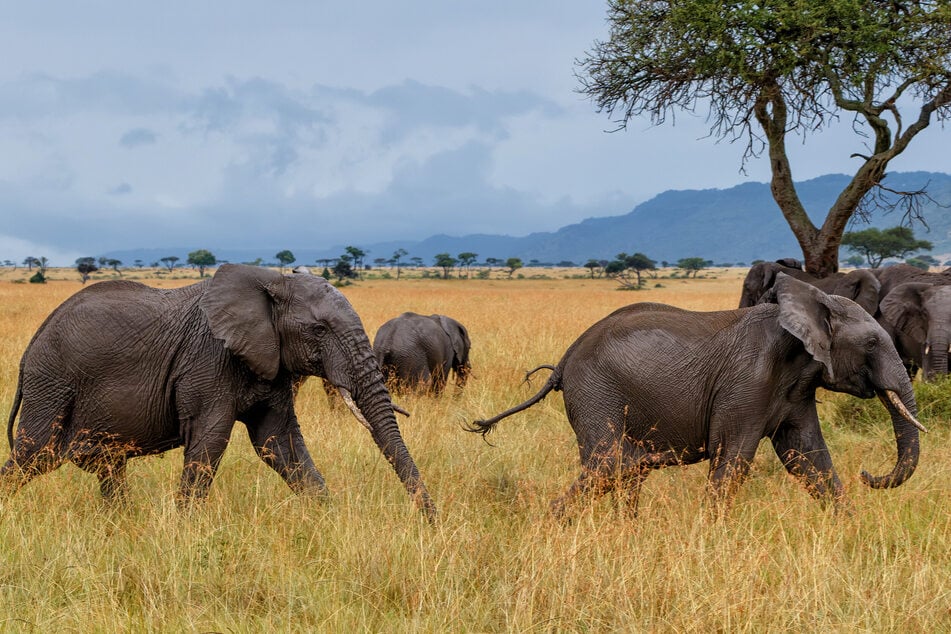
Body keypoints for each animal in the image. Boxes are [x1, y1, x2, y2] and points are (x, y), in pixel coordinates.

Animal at [1, 262, 436, 520]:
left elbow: (278, 443)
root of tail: (30, 351)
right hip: (52, 385)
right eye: (319, 329)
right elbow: (210, 441)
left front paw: (326, 519)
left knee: (107, 466)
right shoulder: (208, 360)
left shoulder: (270, 359)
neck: (270, 279)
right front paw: (186, 530)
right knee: (32, 456)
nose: (431, 522)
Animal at [472, 274, 924, 516]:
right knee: (610, 465)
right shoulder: (748, 381)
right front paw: (712, 534)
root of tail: (565, 358)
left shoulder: (795, 386)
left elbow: (807, 456)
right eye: (871, 344)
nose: (868, 475)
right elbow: (734, 457)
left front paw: (849, 525)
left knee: (622, 472)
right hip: (595, 391)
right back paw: (553, 523)